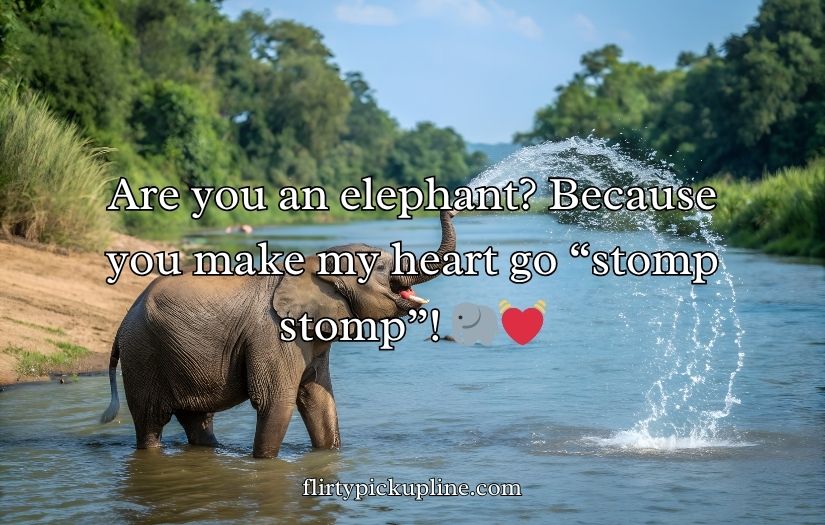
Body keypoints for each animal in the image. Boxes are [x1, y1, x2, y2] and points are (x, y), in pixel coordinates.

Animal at [100, 210, 457, 458]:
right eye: (381, 268)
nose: (451, 209)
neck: (315, 264)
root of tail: (124, 320)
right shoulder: (273, 336)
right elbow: (276, 402)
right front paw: (264, 464)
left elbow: (320, 400)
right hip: (144, 354)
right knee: (150, 422)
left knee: (197, 420)